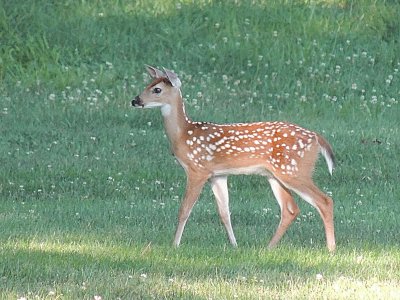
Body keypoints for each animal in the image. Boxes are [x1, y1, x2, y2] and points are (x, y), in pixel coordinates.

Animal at [133, 66, 336, 253]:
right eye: (147, 84)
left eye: (157, 89)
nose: (135, 100)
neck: (183, 135)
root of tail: (316, 138)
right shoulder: (218, 175)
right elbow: (224, 213)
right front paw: (234, 245)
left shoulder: (198, 169)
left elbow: (184, 209)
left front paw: (174, 244)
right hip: (276, 175)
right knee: (290, 209)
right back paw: (268, 247)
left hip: (294, 170)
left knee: (324, 201)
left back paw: (331, 248)